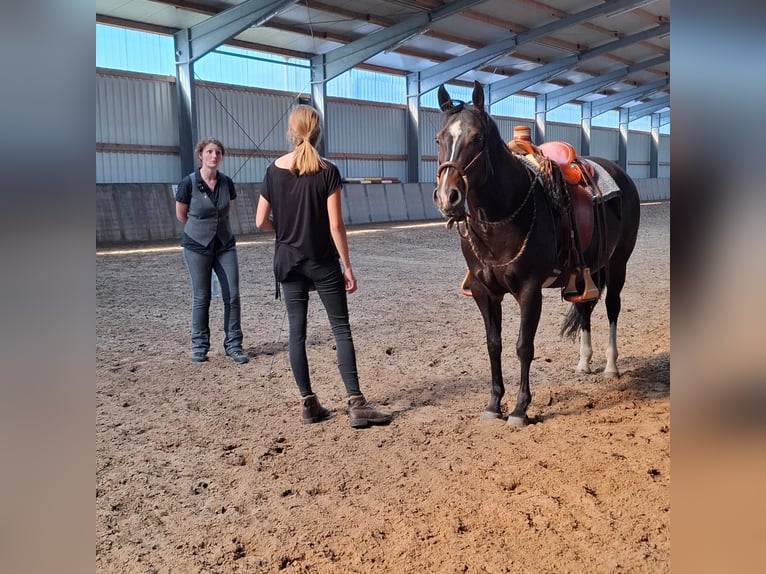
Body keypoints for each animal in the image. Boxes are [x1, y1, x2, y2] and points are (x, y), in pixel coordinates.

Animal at [432, 81, 640, 428]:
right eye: (439, 138)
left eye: (477, 138)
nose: (449, 196)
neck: (502, 215)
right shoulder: (483, 291)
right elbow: (493, 344)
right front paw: (493, 404)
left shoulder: (530, 290)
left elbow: (523, 346)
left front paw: (519, 409)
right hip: (585, 272)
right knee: (585, 307)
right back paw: (584, 363)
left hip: (617, 263)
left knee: (612, 307)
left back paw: (611, 367)